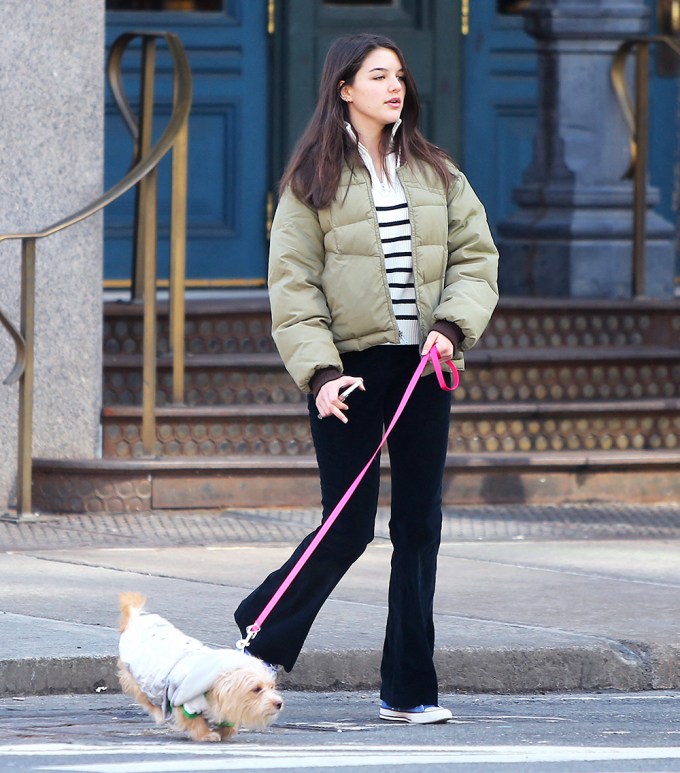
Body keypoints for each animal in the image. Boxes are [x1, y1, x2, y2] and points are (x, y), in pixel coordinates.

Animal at [117, 592, 282, 740]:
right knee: (147, 698)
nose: (279, 703)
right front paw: (206, 735)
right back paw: (160, 714)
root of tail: (135, 619)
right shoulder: (187, 704)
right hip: (143, 680)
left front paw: (223, 731)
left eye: (272, 687)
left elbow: (228, 727)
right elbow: (194, 722)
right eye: (256, 689)